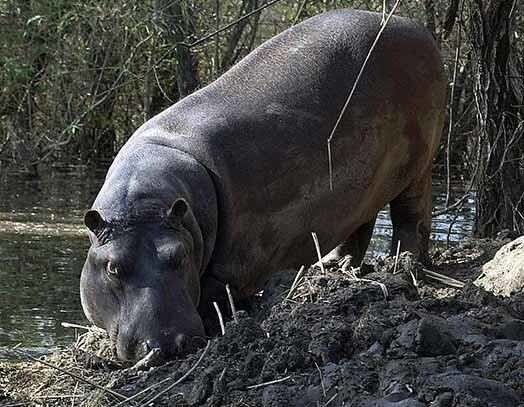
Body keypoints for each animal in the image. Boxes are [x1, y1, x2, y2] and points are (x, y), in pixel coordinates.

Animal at [79, 7, 446, 362]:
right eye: (113, 267)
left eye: (180, 256)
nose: (170, 343)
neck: (147, 203)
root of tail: (417, 28)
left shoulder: (231, 267)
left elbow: (214, 294)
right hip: (364, 183)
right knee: (360, 223)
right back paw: (332, 266)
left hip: (418, 165)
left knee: (412, 216)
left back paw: (402, 264)